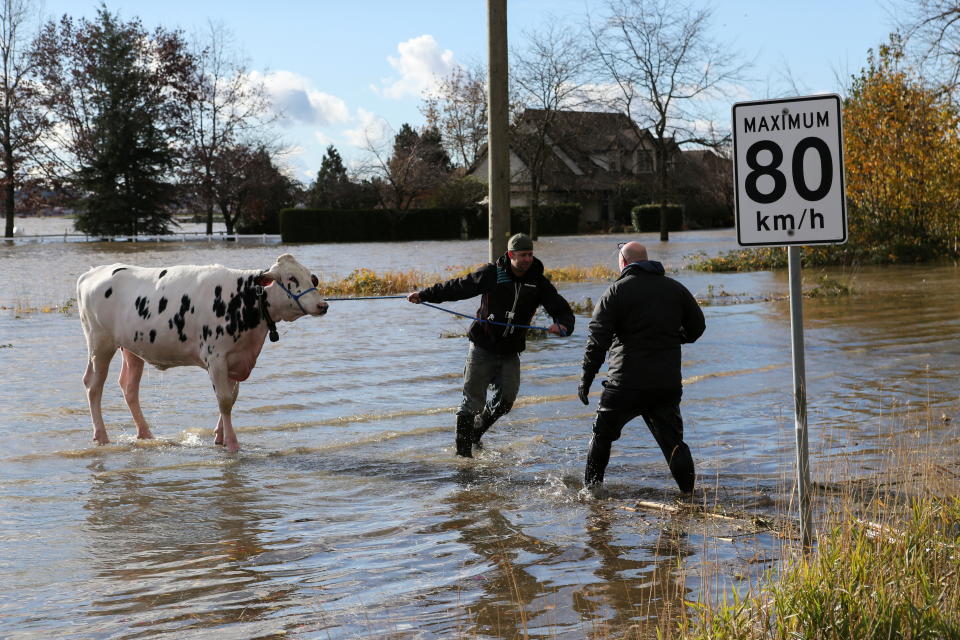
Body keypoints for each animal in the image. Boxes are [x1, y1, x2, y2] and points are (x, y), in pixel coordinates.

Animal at [76, 252, 330, 452]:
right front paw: (232, 443)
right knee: (93, 385)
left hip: (132, 348)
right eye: (291, 278)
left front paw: (220, 437)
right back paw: (102, 436)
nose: (323, 305)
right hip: (99, 343)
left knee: (129, 387)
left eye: (310, 277)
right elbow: (224, 400)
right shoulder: (216, 358)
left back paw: (145, 434)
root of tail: (92, 272)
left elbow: (232, 398)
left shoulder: (236, 358)